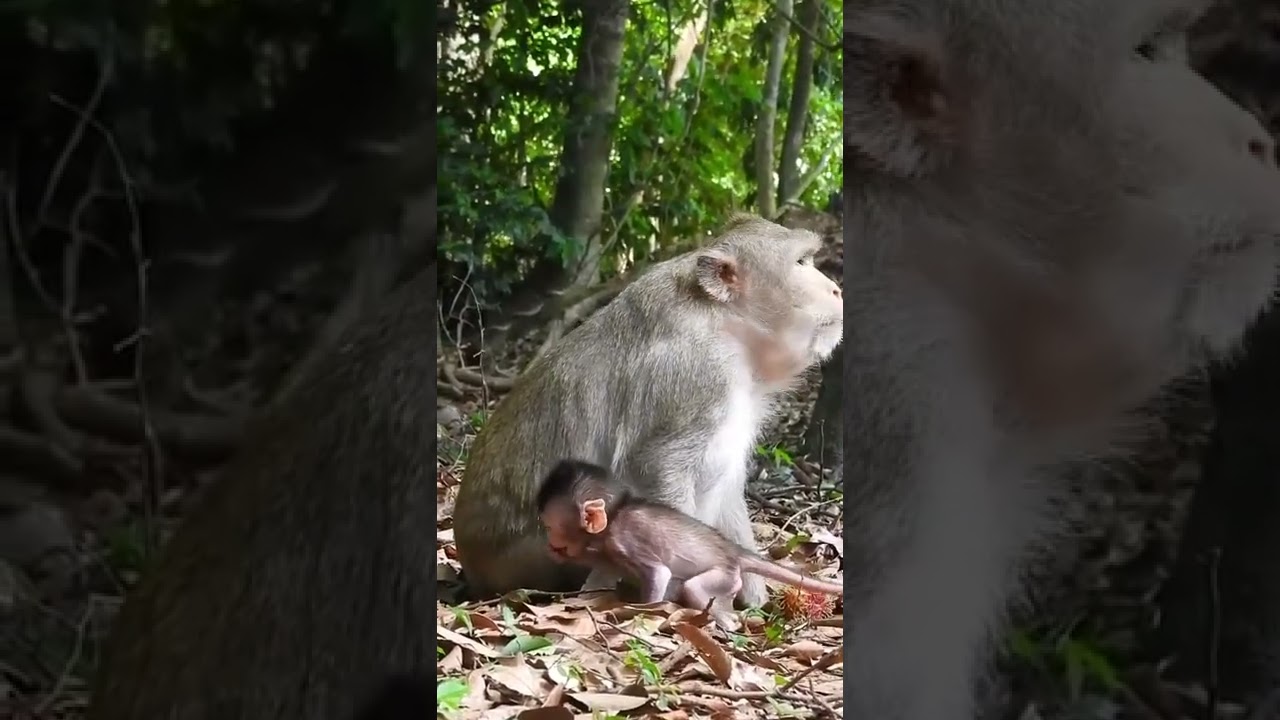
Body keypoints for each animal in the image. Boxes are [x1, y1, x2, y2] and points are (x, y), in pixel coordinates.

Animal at [535, 459, 842, 623]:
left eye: (549, 525)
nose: (549, 539)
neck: (617, 514)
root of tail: (731, 550)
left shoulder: (626, 538)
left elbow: (659, 573)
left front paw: (641, 610)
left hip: (724, 575)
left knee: (695, 588)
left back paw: (725, 622)